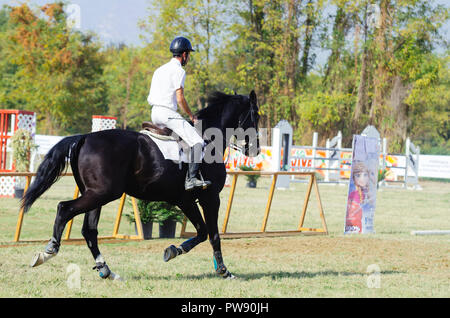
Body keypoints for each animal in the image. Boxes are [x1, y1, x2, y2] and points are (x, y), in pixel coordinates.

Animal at [22, 90, 260, 280]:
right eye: (256, 116)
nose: (255, 150)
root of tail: (85, 137)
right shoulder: (208, 198)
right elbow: (212, 234)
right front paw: (223, 270)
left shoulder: (185, 200)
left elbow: (202, 233)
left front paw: (173, 251)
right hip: (101, 194)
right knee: (65, 209)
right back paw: (49, 251)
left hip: (96, 195)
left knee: (89, 230)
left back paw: (106, 270)